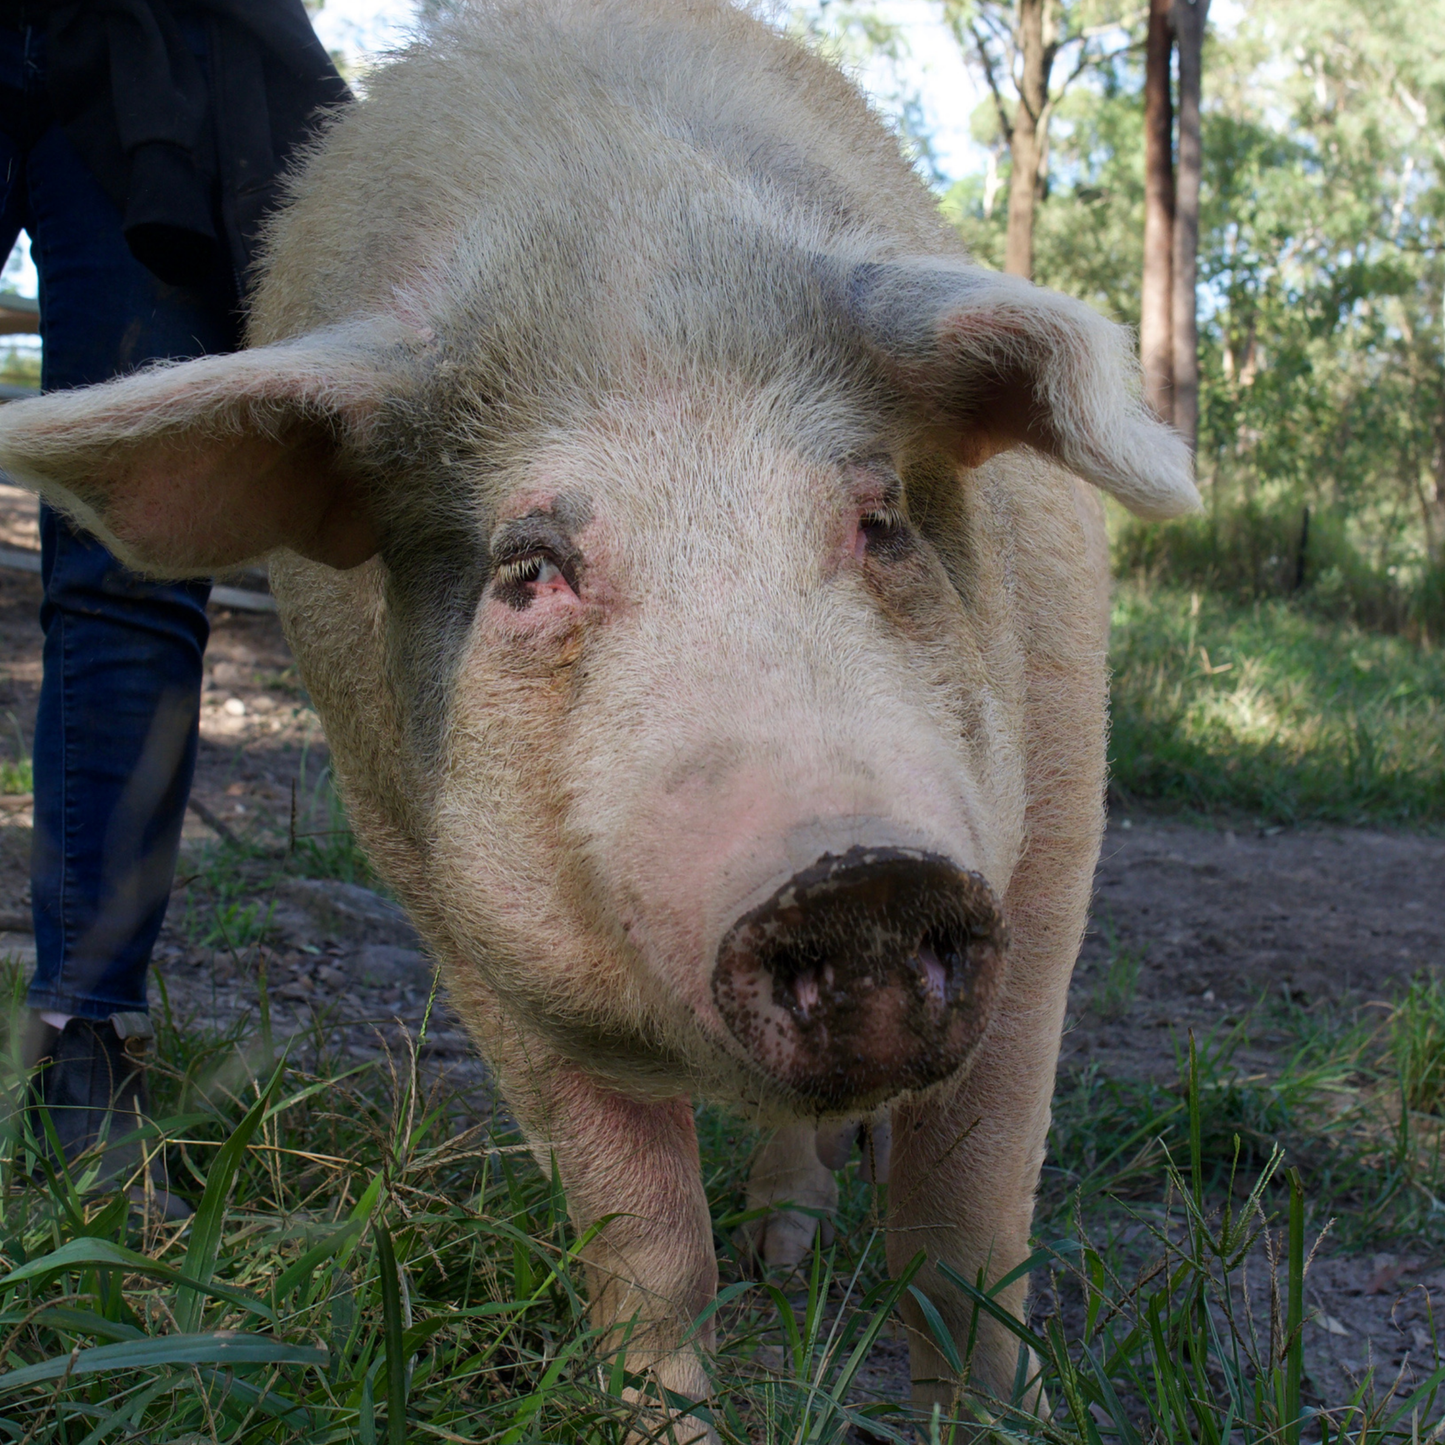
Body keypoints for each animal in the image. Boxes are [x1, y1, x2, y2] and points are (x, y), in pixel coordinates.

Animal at [0, 0, 1197, 1431]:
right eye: (528, 568)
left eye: (881, 515)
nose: (857, 871)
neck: (624, 211)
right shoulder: (453, 911)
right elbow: (644, 1247)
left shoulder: (1053, 835)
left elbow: (961, 1237)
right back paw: (775, 1258)